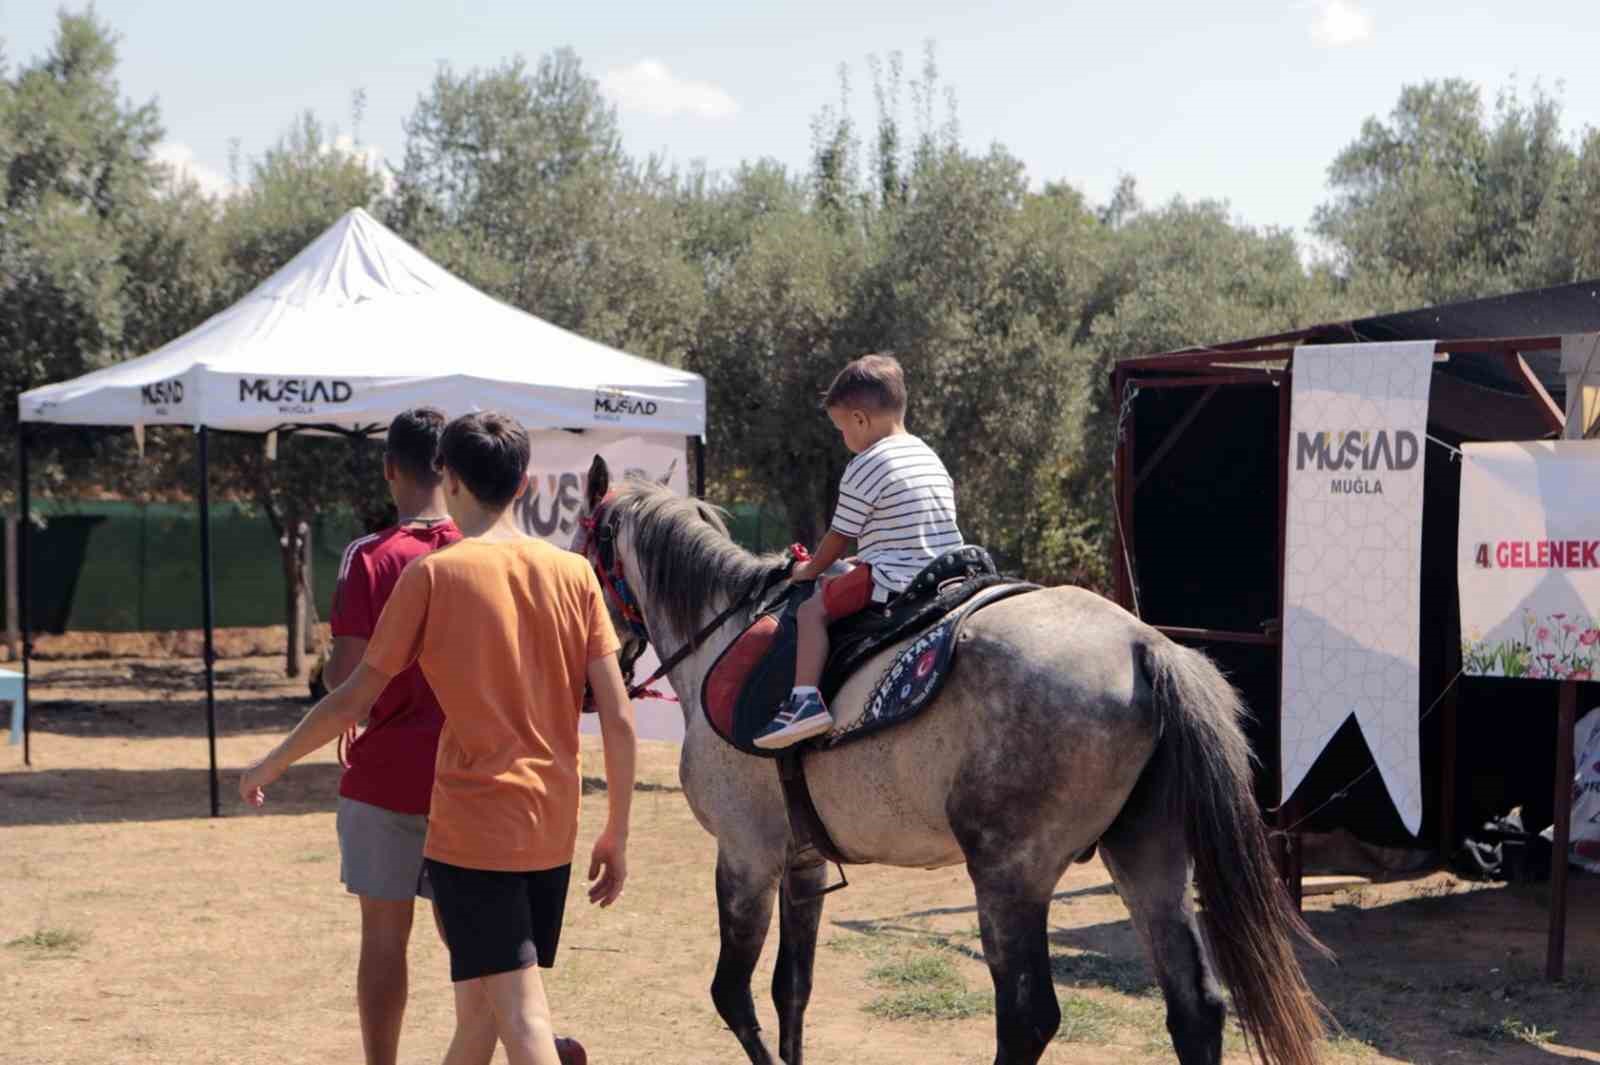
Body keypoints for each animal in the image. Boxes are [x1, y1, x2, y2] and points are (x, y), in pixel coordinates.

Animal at [576, 463, 1324, 1061]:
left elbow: (732, 994)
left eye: (579, 550)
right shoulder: (800, 861)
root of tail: (1144, 647)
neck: (723, 636)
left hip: (1009, 875)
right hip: (1149, 855)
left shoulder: (745, 853)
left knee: (1027, 1017)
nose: (587, 683)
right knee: (1194, 1006)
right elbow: (793, 991)